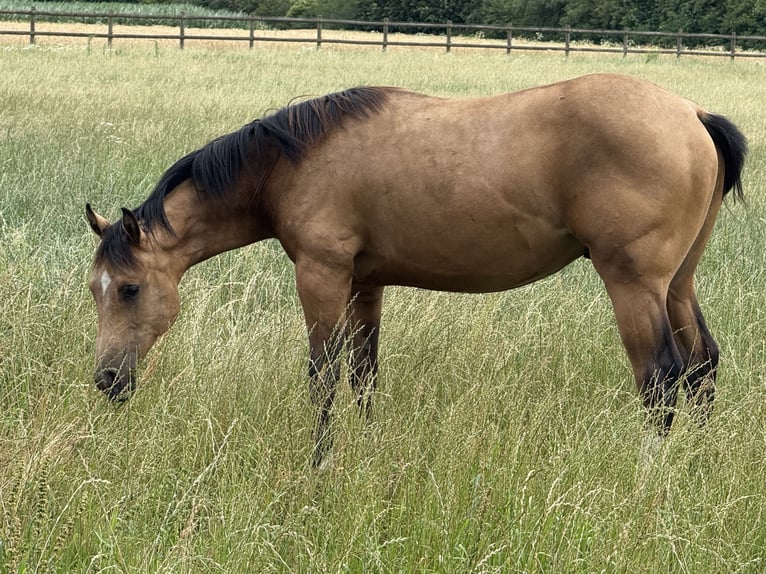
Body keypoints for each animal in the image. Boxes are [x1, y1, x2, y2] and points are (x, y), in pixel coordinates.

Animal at [85, 74, 746, 467]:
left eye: (129, 288)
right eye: (97, 290)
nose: (108, 380)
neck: (291, 162)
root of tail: (693, 114)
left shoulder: (322, 276)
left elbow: (323, 375)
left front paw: (321, 463)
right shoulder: (366, 284)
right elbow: (364, 374)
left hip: (635, 286)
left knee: (662, 378)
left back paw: (649, 472)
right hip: (677, 284)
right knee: (702, 365)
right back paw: (696, 465)